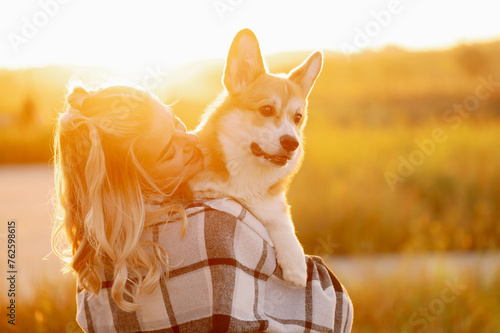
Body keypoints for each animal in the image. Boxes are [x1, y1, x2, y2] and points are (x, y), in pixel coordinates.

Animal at [188, 28, 324, 286]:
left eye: (298, 117)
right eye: (267, 110)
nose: (292, 143)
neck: (248, 173)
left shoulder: (274, 204)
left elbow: (283, 221)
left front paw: (295, 263)